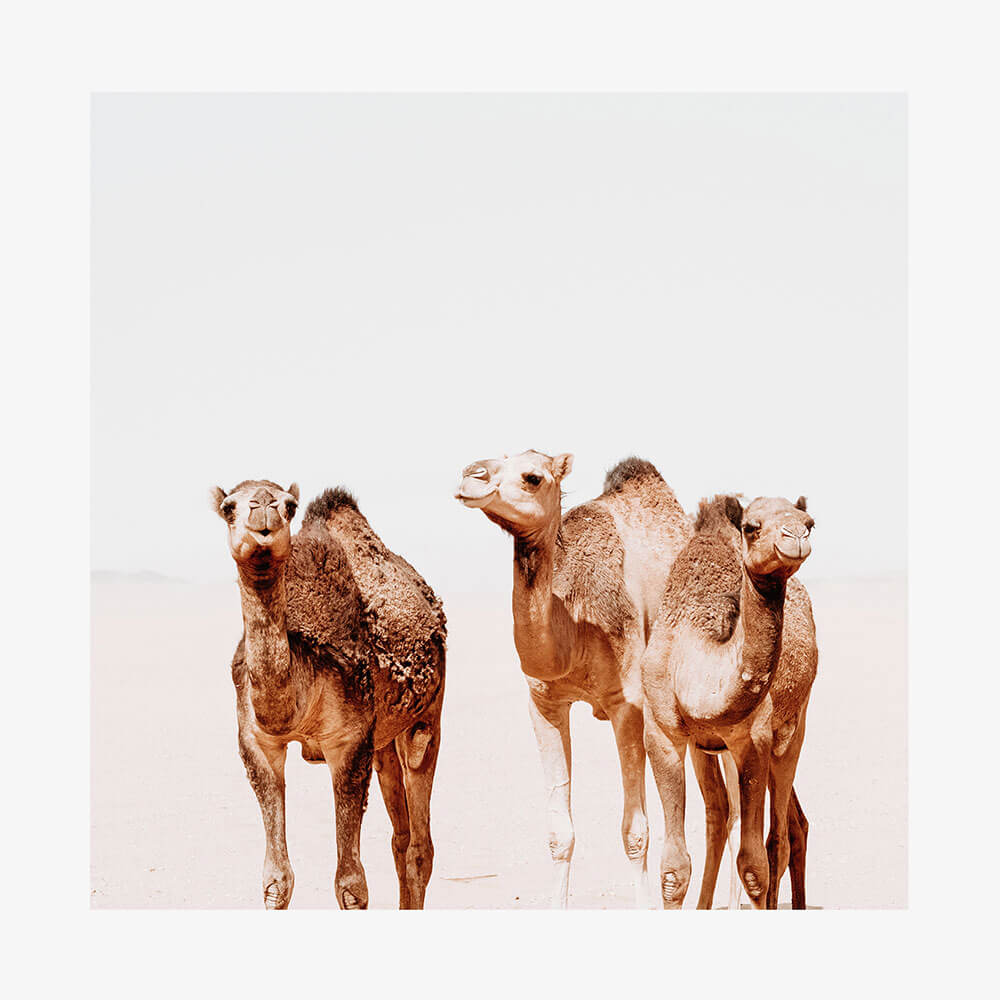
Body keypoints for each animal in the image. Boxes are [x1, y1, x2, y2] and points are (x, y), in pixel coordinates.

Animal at [211, 479, 446, 910]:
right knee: (400, 838)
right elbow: (276, 879)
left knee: (421, 847)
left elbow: (351, 884)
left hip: (426, 719)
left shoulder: (349, 744)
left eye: (289, 505)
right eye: (228, 507)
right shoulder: (257, 742)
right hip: (382, 742)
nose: (263, 507)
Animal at [455, 451, 696, 907]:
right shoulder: (544, 704)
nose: (470, 475)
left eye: (532, 477)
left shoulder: (627, 705)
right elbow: (559, 834)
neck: (576, 623)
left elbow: (635, 833)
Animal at [641, 493, 817, 909]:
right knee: (723, 812)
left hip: (793, 727)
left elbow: (754, 867)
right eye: (751, 528)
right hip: (706, 748)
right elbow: (674, 869)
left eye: (810, 523)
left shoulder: (753, 741)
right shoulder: (663, 733)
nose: (795, 538)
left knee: (779, 838)